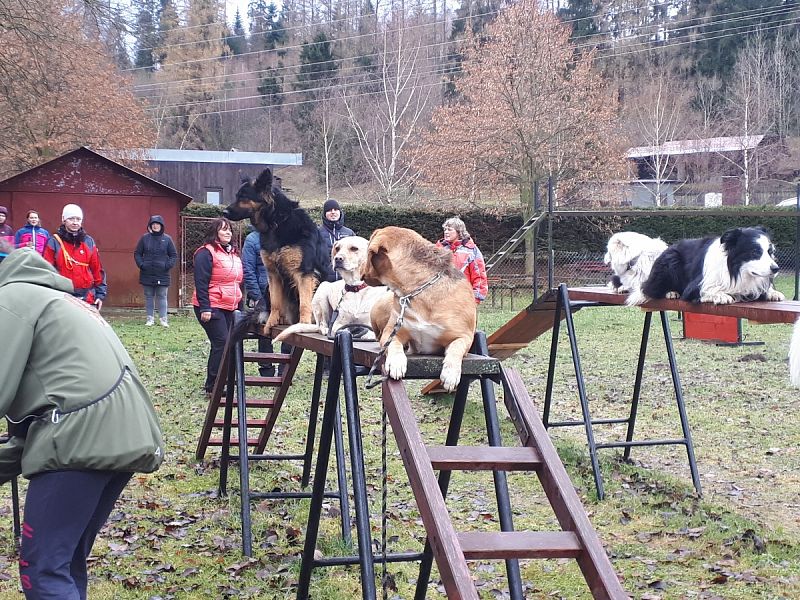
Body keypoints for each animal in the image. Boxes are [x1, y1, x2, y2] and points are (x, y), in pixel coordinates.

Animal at [223, 168, 336, 328]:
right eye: (237, 196)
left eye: (243, 197)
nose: (224, 213)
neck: (277, 222)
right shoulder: (273, 274)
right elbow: (276, 302)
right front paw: (271, 322)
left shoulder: (304, 273)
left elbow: (304, 303)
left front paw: (304, 323)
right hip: (266, 287)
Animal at [360, 227, 476, 392]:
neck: (417, 288)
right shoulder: (392, 331)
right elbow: (393, 344)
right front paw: (396, 362)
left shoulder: (464, 337)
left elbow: (456, 348)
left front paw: (450, 374)